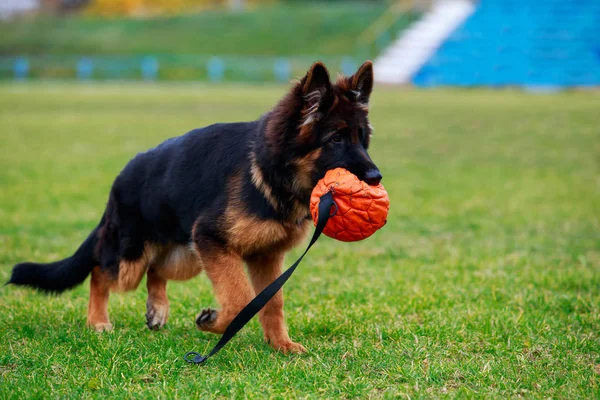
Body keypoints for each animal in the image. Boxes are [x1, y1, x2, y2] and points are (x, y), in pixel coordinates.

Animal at [7, 60, 382, 354]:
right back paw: (98, 320)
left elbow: (272, 301)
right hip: (134, 256)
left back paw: (157, 309)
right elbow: (239, 298)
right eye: (336, 139)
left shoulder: (264, 256)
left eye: (362, 140)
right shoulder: (213, 240)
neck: (268, 170)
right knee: (101, 270)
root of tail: (122, 176)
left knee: (156, 269)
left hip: (185, 256)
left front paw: (281, 345)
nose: (376, 178)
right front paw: (215, 322)